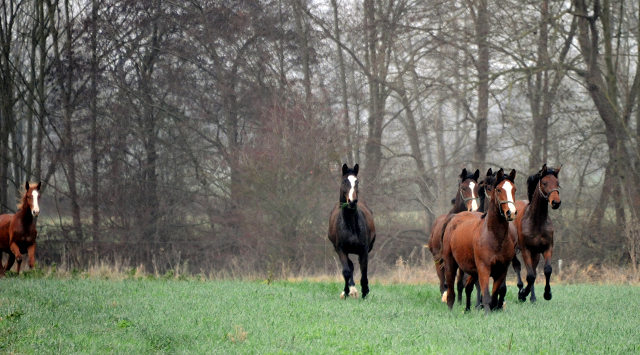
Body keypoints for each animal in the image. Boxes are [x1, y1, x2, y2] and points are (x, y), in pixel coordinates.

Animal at [328, 165, 378, 298]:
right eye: (344, 181)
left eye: (357, 182)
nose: (352, 201)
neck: (350, 224)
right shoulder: (341, 250)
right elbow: (346, 271)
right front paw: (346, 292)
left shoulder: (364, 250)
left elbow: (364, 273)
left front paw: (365, 292)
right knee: (350, 267)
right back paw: (352, 290)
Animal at [424, 169, 480, 300]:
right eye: (463, 188)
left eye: (477, 188)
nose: (473, 209)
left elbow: (460, 283)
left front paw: (459, 301)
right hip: (437, 258)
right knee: (441, 279)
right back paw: (444, 294)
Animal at [442, 170, 516, 314]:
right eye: (499, 189)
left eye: (514, 189)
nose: (511, 212)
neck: (494, 237)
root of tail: (455, 218)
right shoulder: (484, 269)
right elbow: (486, 295)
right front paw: (486, 313)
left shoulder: (501, 271)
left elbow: (494, 295)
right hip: (451, 263)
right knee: (451, 290)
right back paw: (451, 309)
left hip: (473, 271)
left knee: (468, 287)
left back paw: (467, 309)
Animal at [510, 164, 560, 304]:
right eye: (544, 182)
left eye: (557, 183)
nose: (556, 202)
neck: (537, 222)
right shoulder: (526, 250)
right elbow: (530, 275)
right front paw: (522, 294)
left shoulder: (546, 248)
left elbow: (546, 270)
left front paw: (547, 294)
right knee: (517, 267)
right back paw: (521, 290)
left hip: (535, 253)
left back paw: (532, 297)